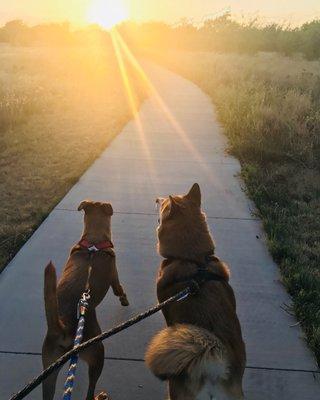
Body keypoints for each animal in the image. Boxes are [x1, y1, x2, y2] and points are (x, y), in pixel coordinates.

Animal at [42, 202, 128, 398]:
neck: (93, 243)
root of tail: (62, 326)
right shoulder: (114, 277)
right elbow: (119, 290)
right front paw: (124, 300)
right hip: (97, 351)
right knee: (90, 391)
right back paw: (99, 396)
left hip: (48, 371)